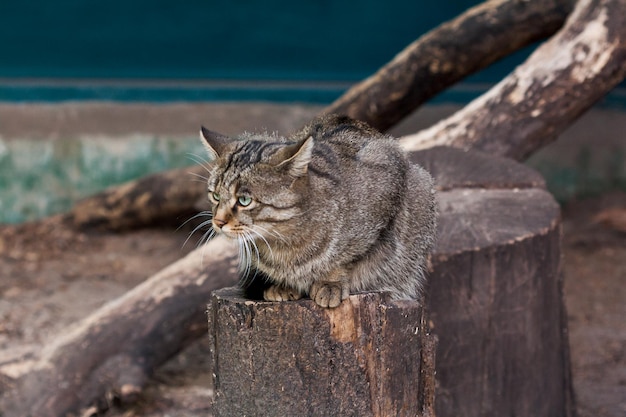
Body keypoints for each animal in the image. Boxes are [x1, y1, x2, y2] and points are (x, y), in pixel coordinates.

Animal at [197, 114, 436, 308]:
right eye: (215, 196)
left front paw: (331, 282)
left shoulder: (386, 190)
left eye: (244, 200)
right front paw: (281, 285)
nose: (218, 222)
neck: (285, 244)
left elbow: (347, 259)